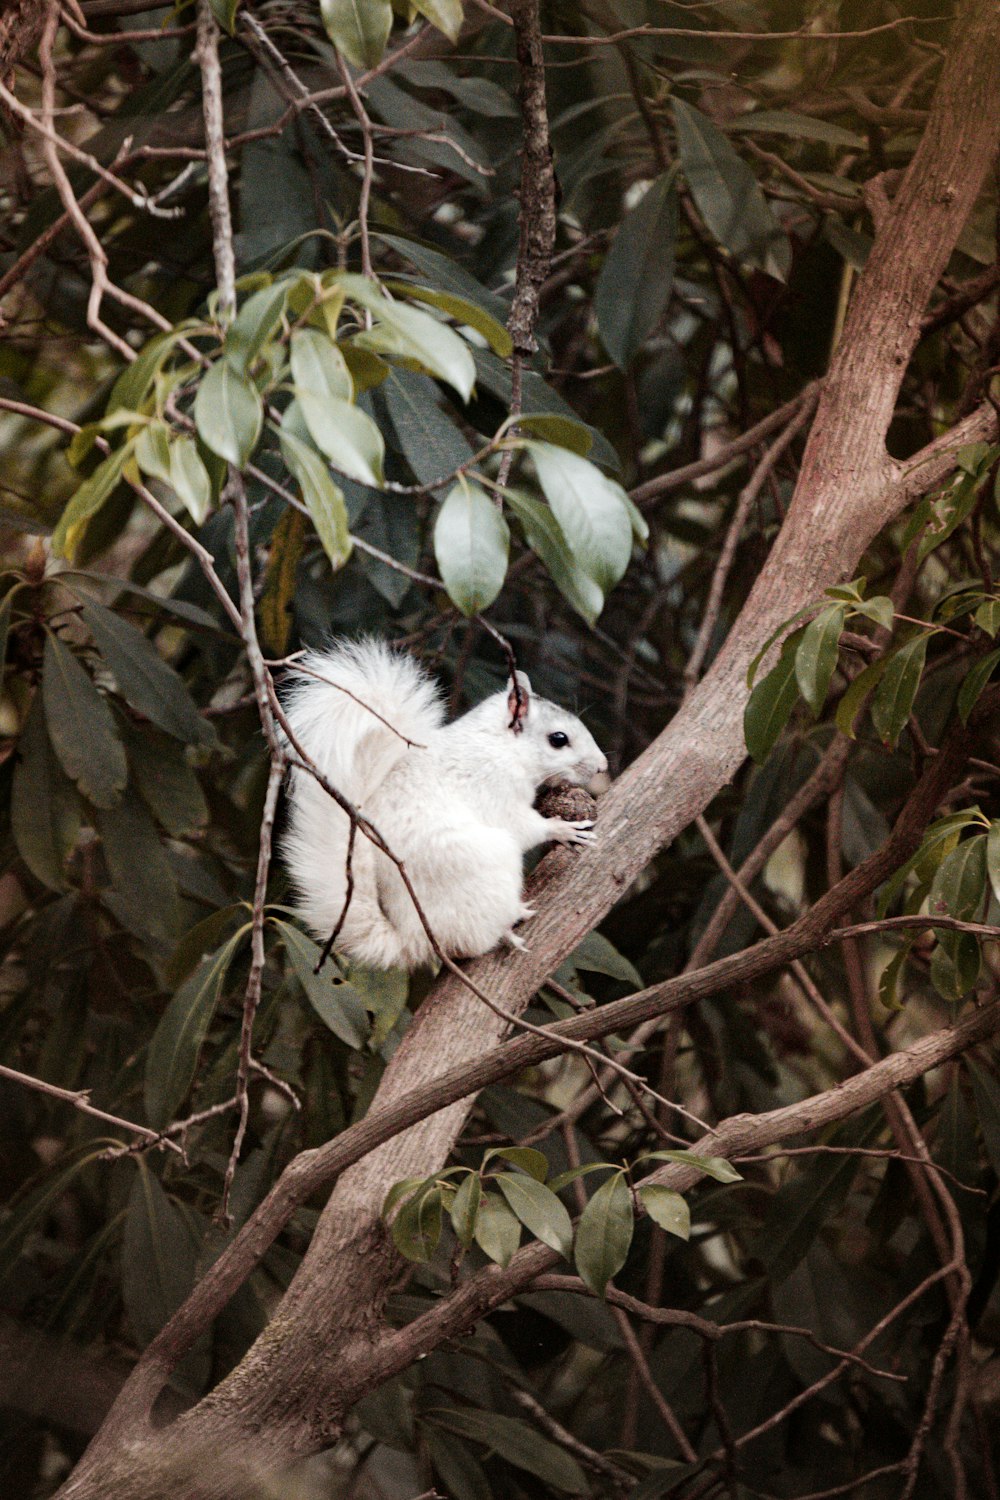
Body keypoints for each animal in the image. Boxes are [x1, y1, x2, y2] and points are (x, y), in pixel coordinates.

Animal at [281, 636, 611, 972]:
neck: (503, 745)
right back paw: (507, 927)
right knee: (472, 941)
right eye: (558, 739)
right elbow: (522, 827)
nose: (602, 766)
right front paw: (562, 829)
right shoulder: (493, 788)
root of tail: (413, 940)